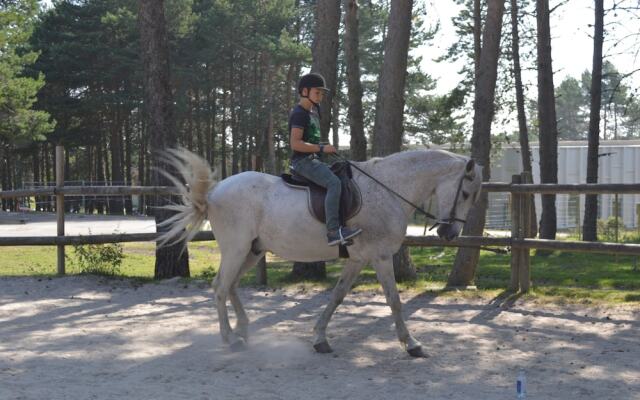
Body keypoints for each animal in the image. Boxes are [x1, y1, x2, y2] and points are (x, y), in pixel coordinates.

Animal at [158, 148, 482, 358]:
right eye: (466, 194)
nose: (450, 234)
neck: (389, 189)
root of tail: (214, 193)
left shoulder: (358, 259)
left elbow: (337, 296)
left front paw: (319, 339)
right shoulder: (380, 257)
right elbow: (394, 301)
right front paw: (412, 344)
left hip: (252, 251)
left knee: (232, 286)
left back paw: (243, 330)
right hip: (236, 249)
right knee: (220, 287)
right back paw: (230, 338)